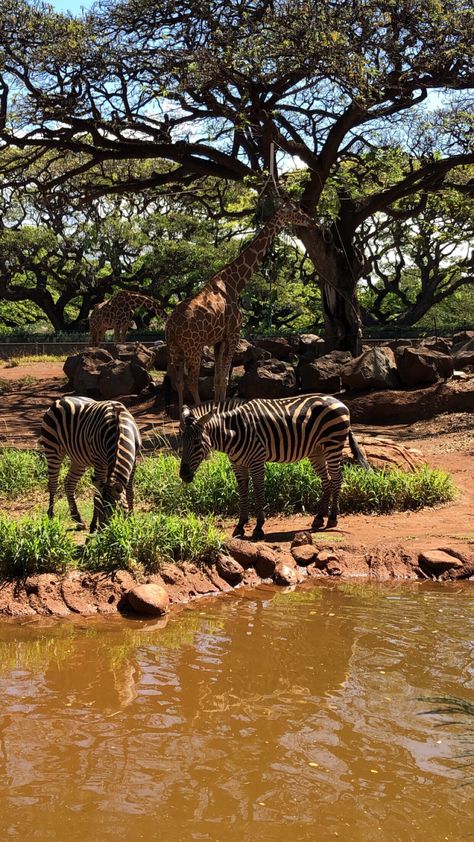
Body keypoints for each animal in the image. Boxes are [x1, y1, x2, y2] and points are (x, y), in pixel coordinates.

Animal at [39, 396, 141, 528]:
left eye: (117, 511)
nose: (108, 531)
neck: (119, 429)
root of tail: (60, 399)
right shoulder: (99, 463)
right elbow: (97, 496)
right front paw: (94, 525)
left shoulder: (134, 461)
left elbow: (129, 491)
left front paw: (131, 519)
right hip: (52, 448)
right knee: (53, 483)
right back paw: (51, 516)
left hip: (79, 459)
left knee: (69, 483)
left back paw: (77, 518)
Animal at [166, 203, 314, 414]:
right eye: (295, 211)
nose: (311, 221)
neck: (234, 284)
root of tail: (170, 327)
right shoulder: (233, 333)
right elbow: (225, 379)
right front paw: (218, 410)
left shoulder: (218, 340)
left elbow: (218, 379)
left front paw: (217, 408)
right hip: (193, 347)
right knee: (191, 381)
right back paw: (197, 411)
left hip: (174, 348)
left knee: (178, 381)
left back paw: (181, 415)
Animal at [181, 392, 370, 540]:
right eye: (182, 442)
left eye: (197, 443)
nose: (183, 475)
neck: (234, 432)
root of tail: (339, 401)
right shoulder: (237, 464)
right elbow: (243, 493)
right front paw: (240, 526)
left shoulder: (257, 460)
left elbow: (258, 491)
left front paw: (258, 528)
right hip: (317, 450)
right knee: (327, 480)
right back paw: (319, 518)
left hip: (333, 444)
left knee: (337, 478)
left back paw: (332, 518)